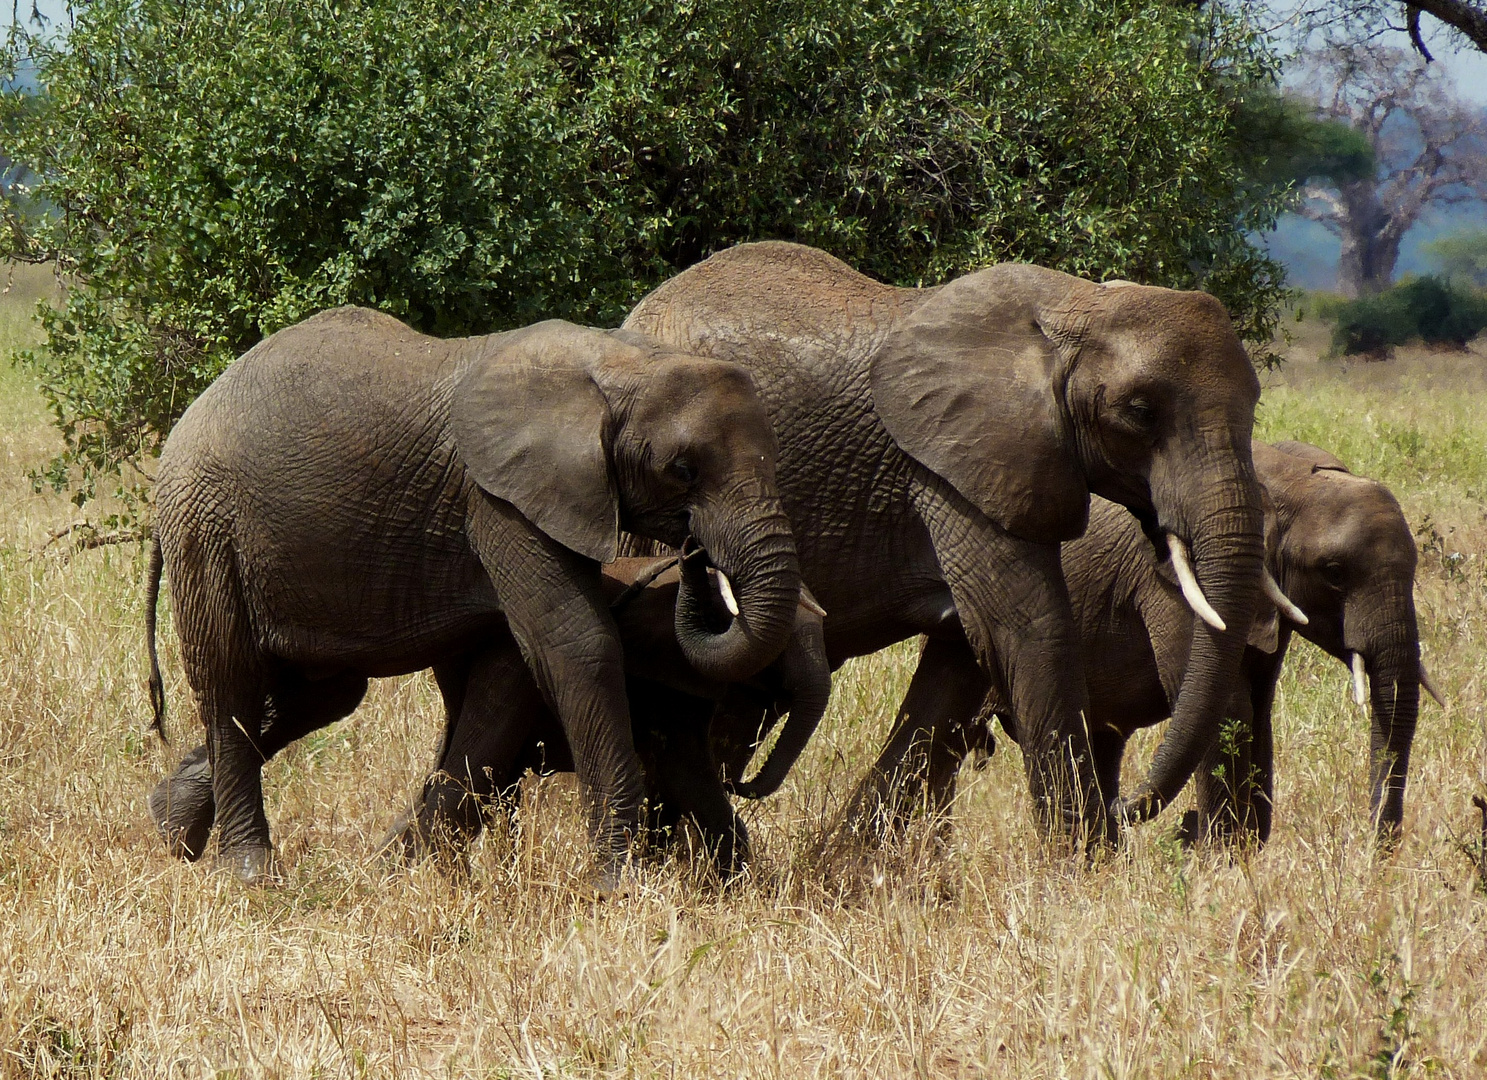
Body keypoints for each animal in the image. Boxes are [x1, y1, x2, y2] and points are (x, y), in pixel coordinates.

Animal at [624, 243, 1266, 844]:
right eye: (1139, 411)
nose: (1133, 809)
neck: (1075, 305)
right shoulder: (950, 469)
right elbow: (1031, 631)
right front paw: (1084, 865)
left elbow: (962, 657)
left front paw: (845, 865)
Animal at [892, 440, 1439, 844]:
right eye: (1334, 572)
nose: (1373, 851)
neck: (1285, 477)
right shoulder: (1171, 586)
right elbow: (1228, 710)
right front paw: (1222, 862)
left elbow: (1257, 715)